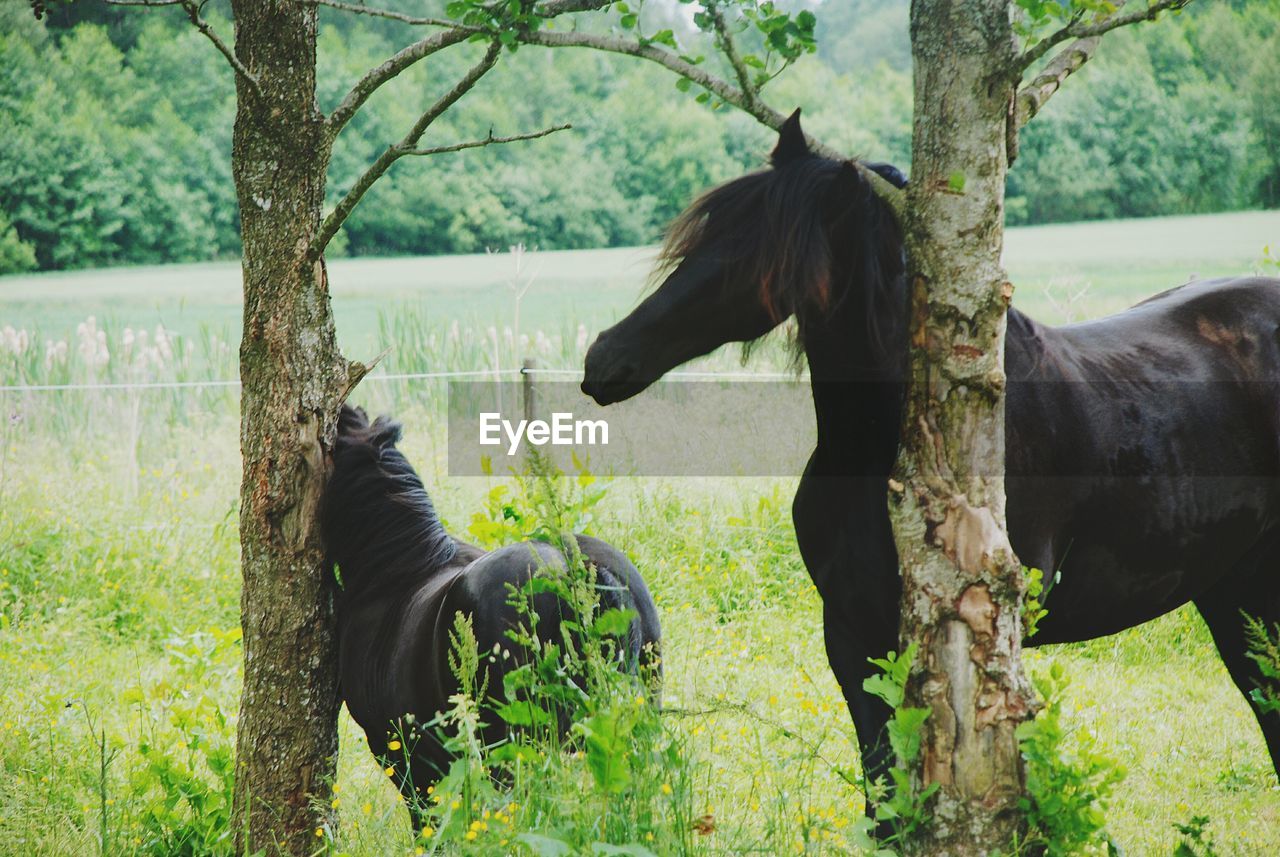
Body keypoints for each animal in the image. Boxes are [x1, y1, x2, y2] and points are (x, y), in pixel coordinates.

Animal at [581, 112, 1280, 793]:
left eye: (756, 255)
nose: (603, 358)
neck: (880, 450)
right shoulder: (850, 634)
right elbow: (882, 788)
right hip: (1234, 591)